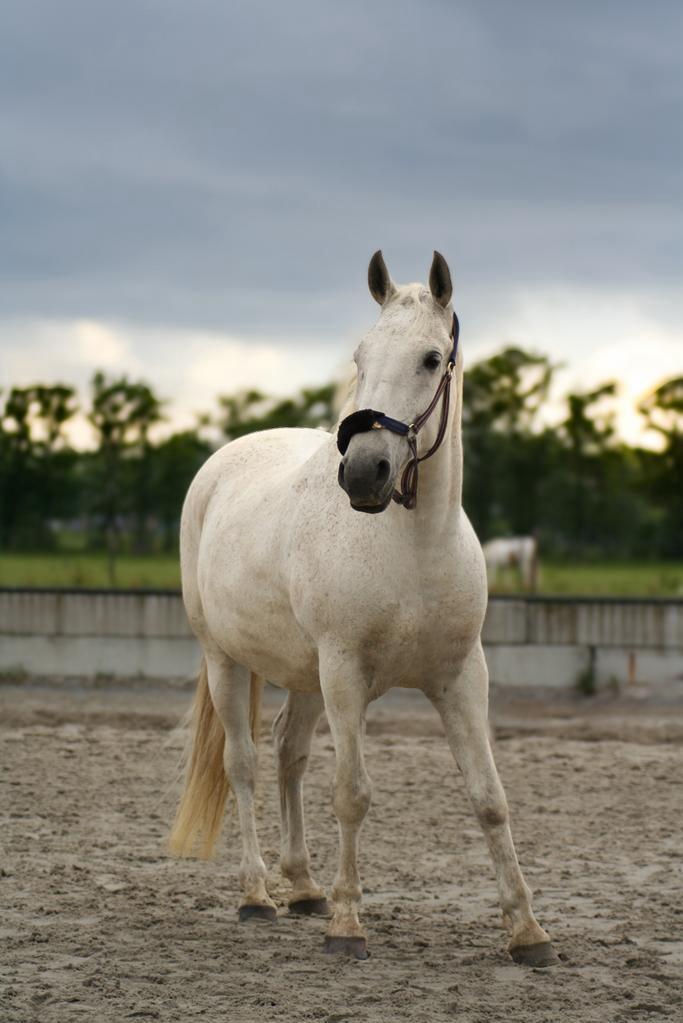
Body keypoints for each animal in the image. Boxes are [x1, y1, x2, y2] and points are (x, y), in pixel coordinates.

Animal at [169, 250, 559, 966]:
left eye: (432, 359)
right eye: (360, 356)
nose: (363, 473)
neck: (414, 547)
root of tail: (221, 463)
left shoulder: (461, 677)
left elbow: (489, 799)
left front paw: (528, 933)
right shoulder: (346, 673)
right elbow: (351, 795)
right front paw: (349, 926)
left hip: (305, 677)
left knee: (288, 752)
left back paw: (303, 888)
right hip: (227, 660)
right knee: (243, 763)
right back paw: (257, 896)